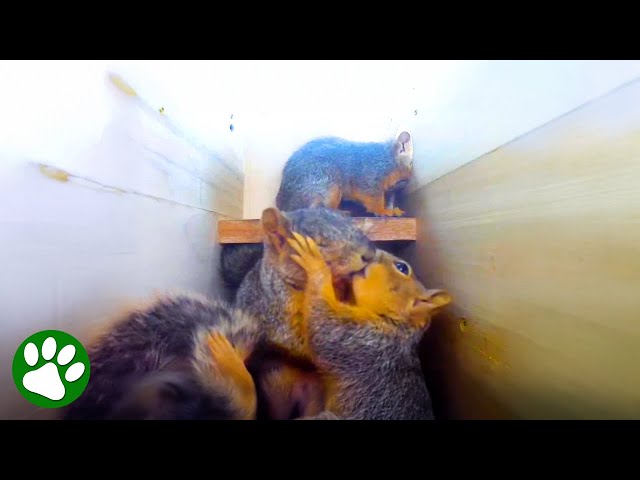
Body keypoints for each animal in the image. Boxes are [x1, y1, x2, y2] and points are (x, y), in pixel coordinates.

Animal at [275, 131, 414, 217]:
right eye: (411, 163)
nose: (408, 181)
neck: (388, 157)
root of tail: (284, 207)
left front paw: (393, 209)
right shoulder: (371, 176)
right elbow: (374, 198)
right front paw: (382, 210)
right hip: (327, 185)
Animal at [287, 232, 452, 420]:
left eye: (402, 268)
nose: (373, 250)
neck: (395, 325)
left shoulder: (363, 341)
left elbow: (322, 324)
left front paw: (314, 262)